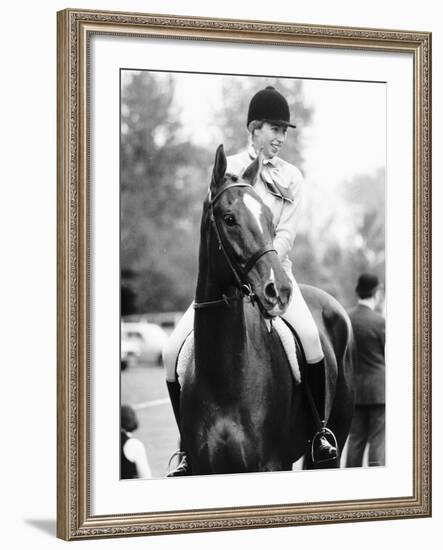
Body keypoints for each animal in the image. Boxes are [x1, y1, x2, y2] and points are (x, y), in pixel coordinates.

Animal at [180, 146, 354, 474]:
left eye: (271, 221)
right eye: (229, 218)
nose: (279, 290)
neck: (224, 376)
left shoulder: (269, 464)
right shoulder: (205, 467)